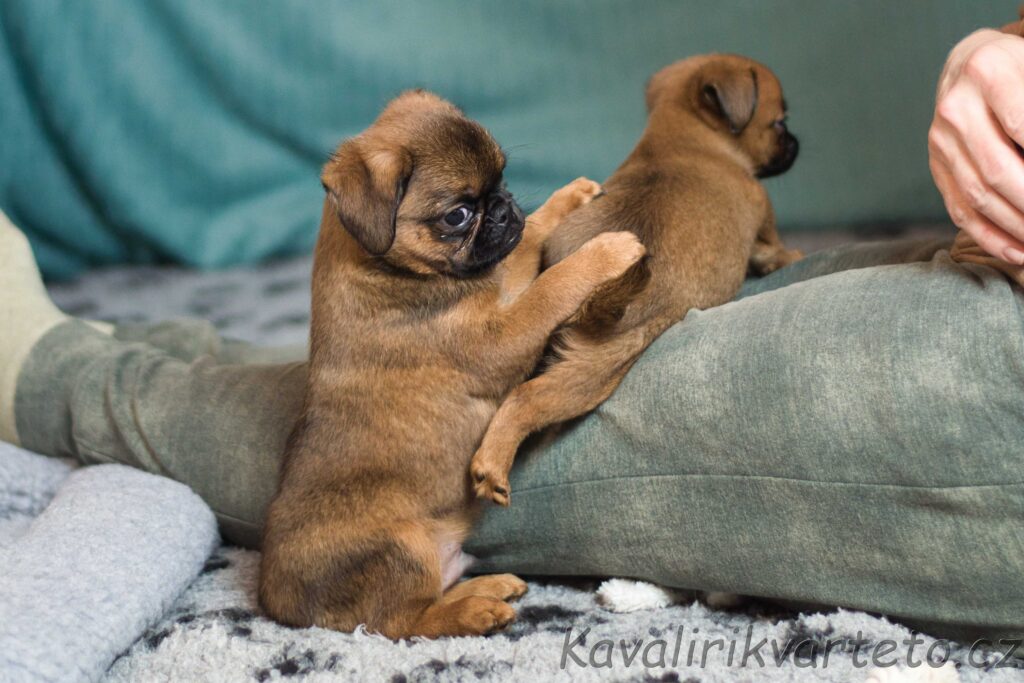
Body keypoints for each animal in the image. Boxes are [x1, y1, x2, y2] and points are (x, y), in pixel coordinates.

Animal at [258, 90, 645, 639]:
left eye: (502, 179)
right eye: (458, 215)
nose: (503, 209)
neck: (381, 263)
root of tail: (276, 599)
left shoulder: (502, 275)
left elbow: (530, 241)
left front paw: (567, 198)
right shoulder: (504, 335)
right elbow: (553, 287)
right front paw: (606, 250)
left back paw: (488, 587)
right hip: (402, 549)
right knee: (401, 622)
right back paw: (477, 612)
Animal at [470, 54, 803, 505]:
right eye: (780, 124)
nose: (796, 144)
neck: (687, 136)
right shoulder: (764, 224)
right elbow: (775, 251)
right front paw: (796, 255)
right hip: (591, 374)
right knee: (525, 401)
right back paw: (492, 467)